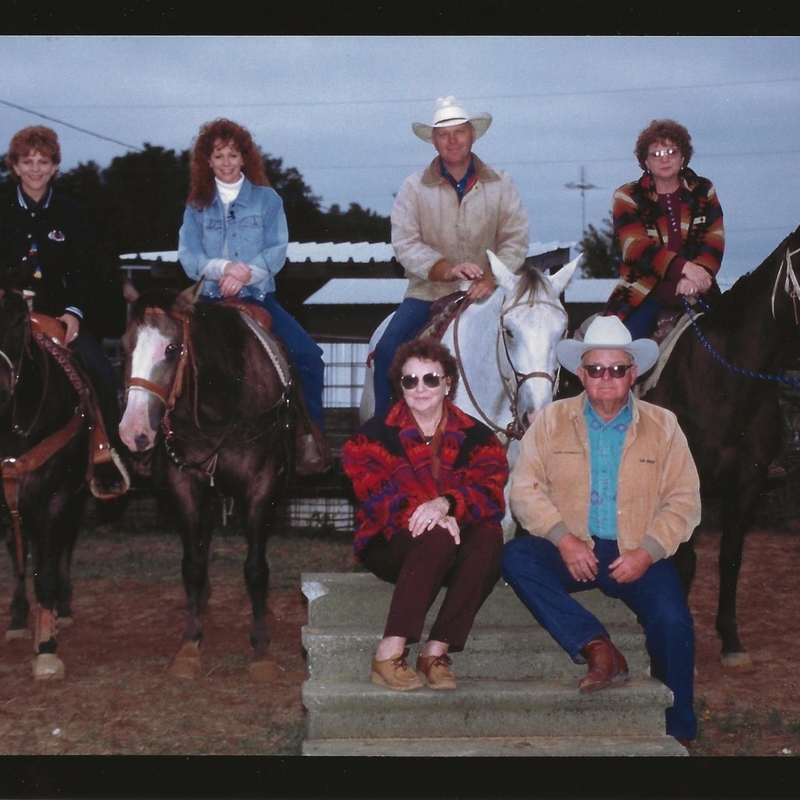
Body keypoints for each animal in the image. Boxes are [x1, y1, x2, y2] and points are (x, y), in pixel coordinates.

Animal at [123, 282, 298, 680]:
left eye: (172, 348)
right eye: (126, 345)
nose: (133, 432)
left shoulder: (261, 487)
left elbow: (255, 569)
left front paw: (261, 649)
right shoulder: (185, 483)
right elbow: (193, 564)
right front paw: (190, 644)